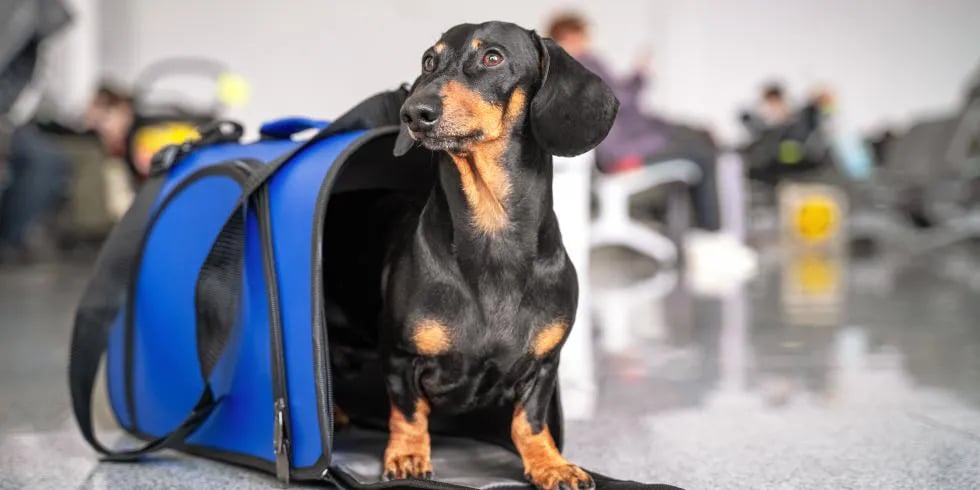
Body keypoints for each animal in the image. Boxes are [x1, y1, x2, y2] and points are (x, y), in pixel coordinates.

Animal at [378, 21, 616, 488]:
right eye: (428, 61)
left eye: (492, 57)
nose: (414, 113)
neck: (493, 233)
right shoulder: (400, 357)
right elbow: (410, 413)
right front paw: (408, 456)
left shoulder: (544, 365)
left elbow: (529, 421)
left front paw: (550, 464)